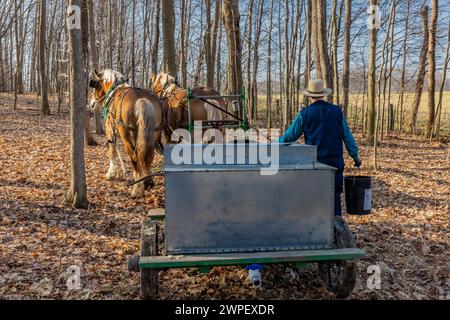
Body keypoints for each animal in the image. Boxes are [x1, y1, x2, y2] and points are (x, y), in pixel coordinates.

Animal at [90, 68, 163, 198]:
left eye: (95, 87)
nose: (91, 103)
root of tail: (142, 99)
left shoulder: (110, 130)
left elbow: (112, 151)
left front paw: (111, 173)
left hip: (127, 137)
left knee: (135, 158)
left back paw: (137, 189)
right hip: (153, 135)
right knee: (148, 156)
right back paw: (147, 181)